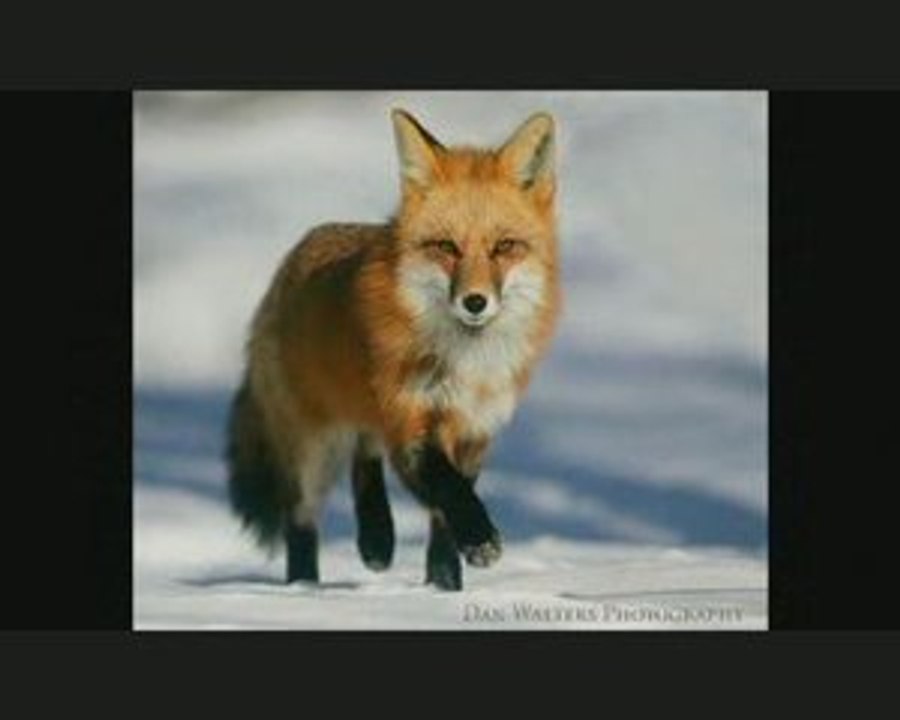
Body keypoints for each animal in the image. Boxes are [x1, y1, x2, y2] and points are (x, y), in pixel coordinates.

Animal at [226, 108, 561, 591]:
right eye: (445, 247)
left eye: (504, 247)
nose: (475, 302)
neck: (465, 362)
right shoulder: (411, 419)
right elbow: (448, 488)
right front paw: (479, 539)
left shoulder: (474, 428)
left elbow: (445, 513)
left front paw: (444, 586)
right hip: (312, 446)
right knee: (302, 519)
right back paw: (305, 587)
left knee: (364, 453)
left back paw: (376, 539)